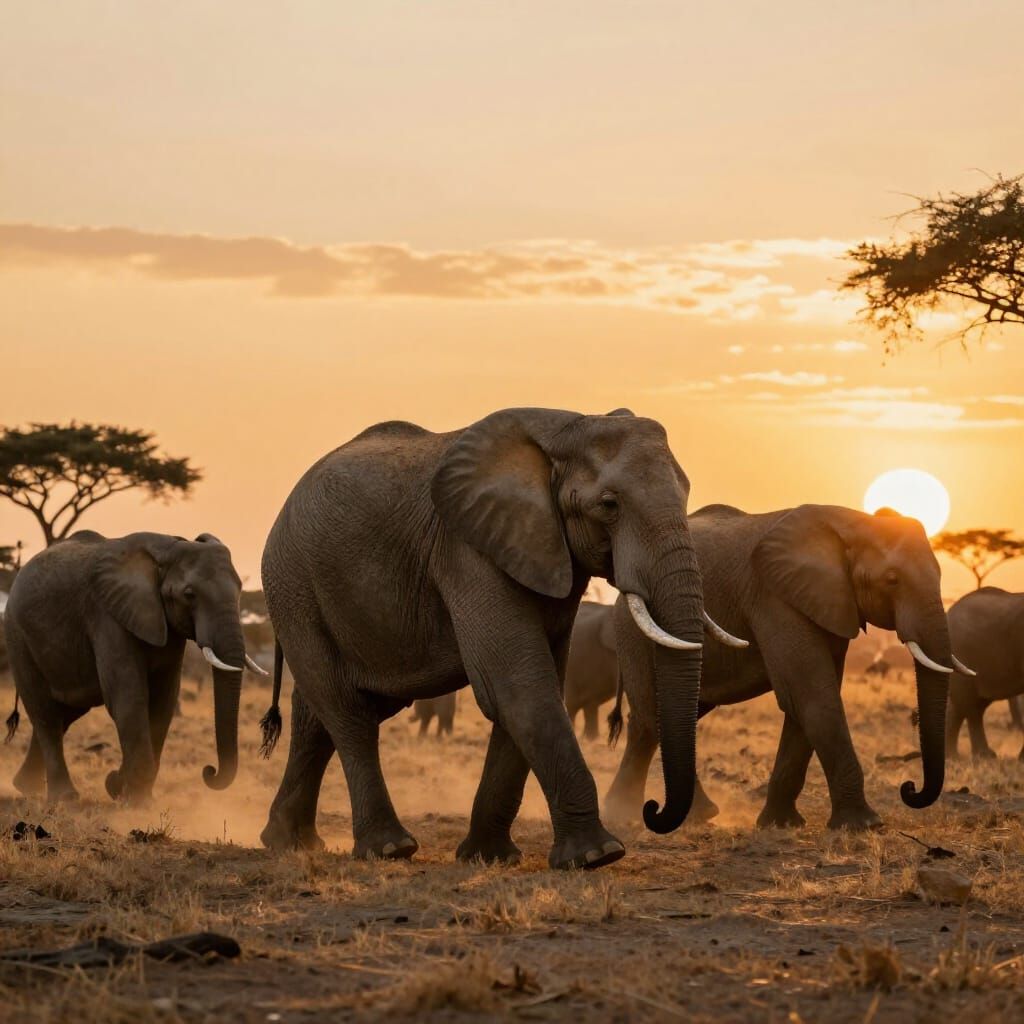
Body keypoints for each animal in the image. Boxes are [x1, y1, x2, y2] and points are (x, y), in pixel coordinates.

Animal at [3, 530, 262, 804]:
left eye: (240, 589)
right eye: (189, 594)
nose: (209, 771)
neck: (167, 549)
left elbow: (163, 701)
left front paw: (124, 790)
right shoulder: (107, 614)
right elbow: (128, 696)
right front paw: (133, 799)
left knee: (65, 712)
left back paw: (26, 787)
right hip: (17, 636)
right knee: (45, 713)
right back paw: (65, 798)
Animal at [606, 504, 961, 831]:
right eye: (892, 580)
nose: (909, 789)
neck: (849, 523)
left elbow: (804, 703)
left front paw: (780, 824)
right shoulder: (773, 597)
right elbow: (812, 697)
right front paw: (865, 825)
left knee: (663, 719)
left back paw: (645, 813)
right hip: (636, 631)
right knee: (655, 716)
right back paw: (672, 814)